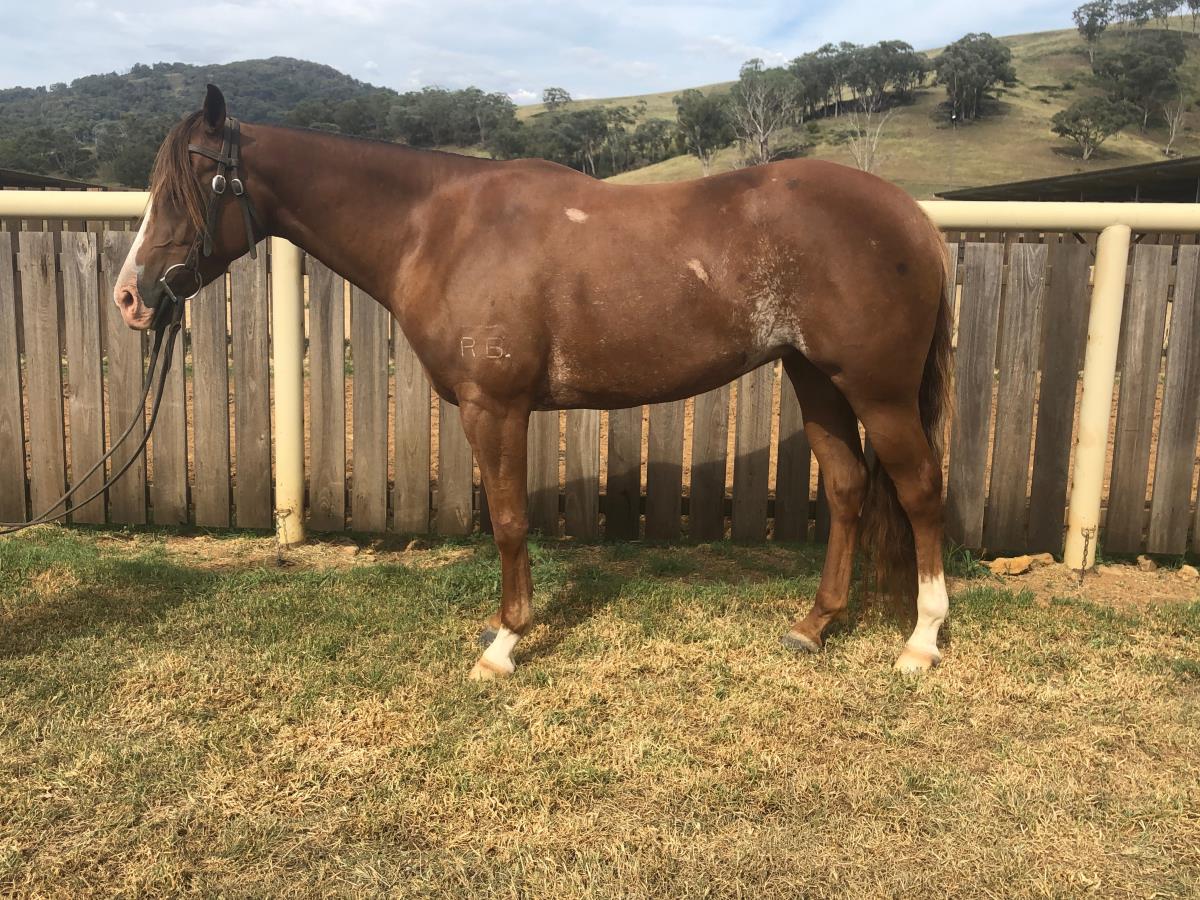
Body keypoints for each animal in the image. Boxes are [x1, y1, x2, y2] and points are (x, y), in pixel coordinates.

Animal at [114, 85, 952, 680]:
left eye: (186, 187)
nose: (130, 298)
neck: (440, 228)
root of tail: (912, 218)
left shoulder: (496, 408)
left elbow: (512, 522)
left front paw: (504, 644)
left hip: (878, 390)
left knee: (918, 489)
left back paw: (920, 641)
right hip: (815, 377)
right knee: (846, 486)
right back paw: (814, 626)